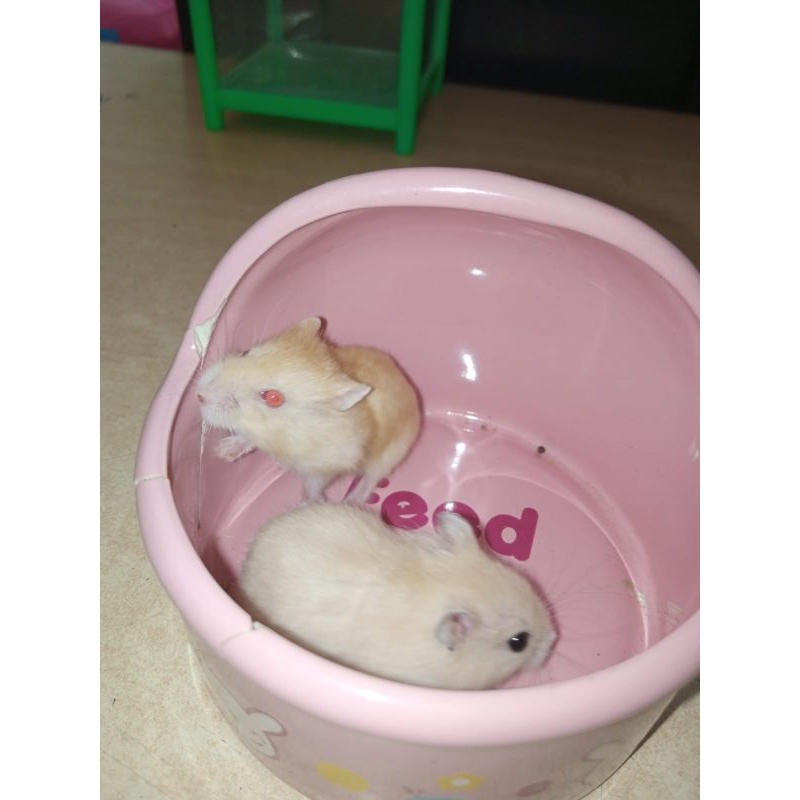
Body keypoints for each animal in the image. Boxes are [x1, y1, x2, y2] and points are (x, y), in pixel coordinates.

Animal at [196, 318, 421, 503]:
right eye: (245, 352)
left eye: (273, 398)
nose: (199, 396)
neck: (282, 434)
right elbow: (248, 438)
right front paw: (222, 452)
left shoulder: (327, 467)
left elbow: (314, 485)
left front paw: (310, 502)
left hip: (390, 455)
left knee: (372, 479)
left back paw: (351, 501)